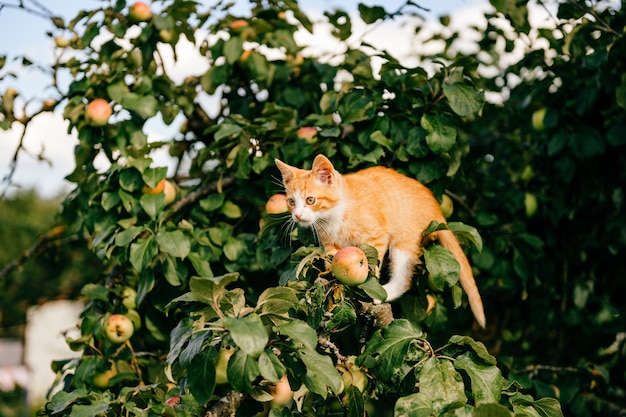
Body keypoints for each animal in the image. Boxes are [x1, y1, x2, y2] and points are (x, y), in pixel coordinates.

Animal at [276, 154, 486, 328]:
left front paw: (371, 288)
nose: (297, 216)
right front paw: (329, 277)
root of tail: (434, 205)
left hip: (405, 237)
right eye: (291, 202)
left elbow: (372, 261)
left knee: (404, 277)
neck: (333, 216)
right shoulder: (328, 244)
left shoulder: (377, 236)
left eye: (310, 200)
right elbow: (331, 258)